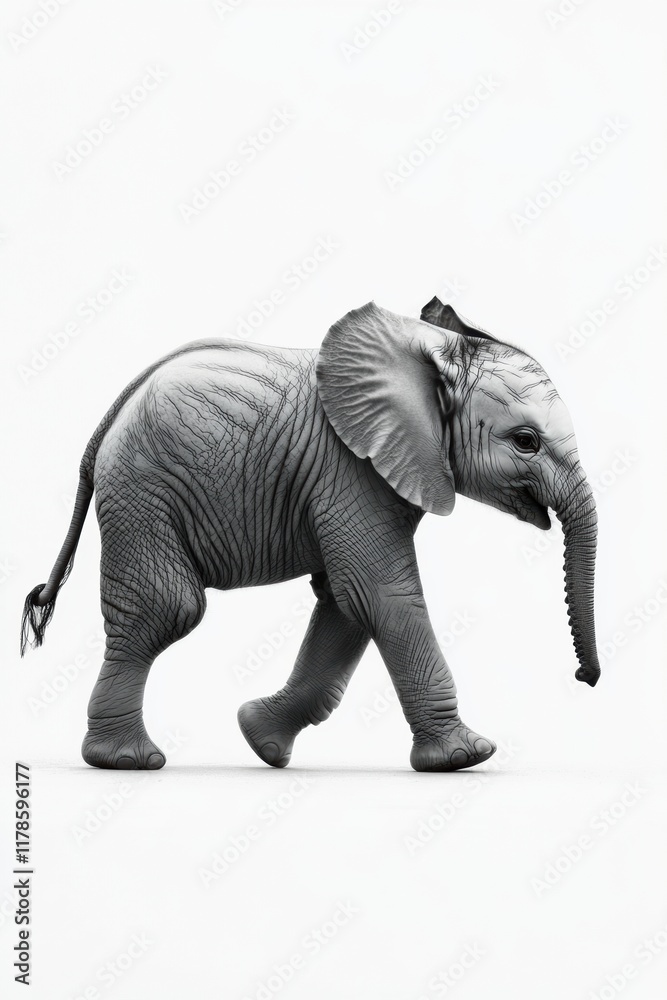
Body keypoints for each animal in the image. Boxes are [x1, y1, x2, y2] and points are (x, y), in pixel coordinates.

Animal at [20, 296, 600, 772]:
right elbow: (379, 593)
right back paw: (126, 762)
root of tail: (107, 422)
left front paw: (262, 742)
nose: (585, 680)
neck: (423, 354)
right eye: (525, 441)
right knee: (169, 608)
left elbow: (346, 604)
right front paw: (465, 758)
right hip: (142, 490)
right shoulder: (351, 470)